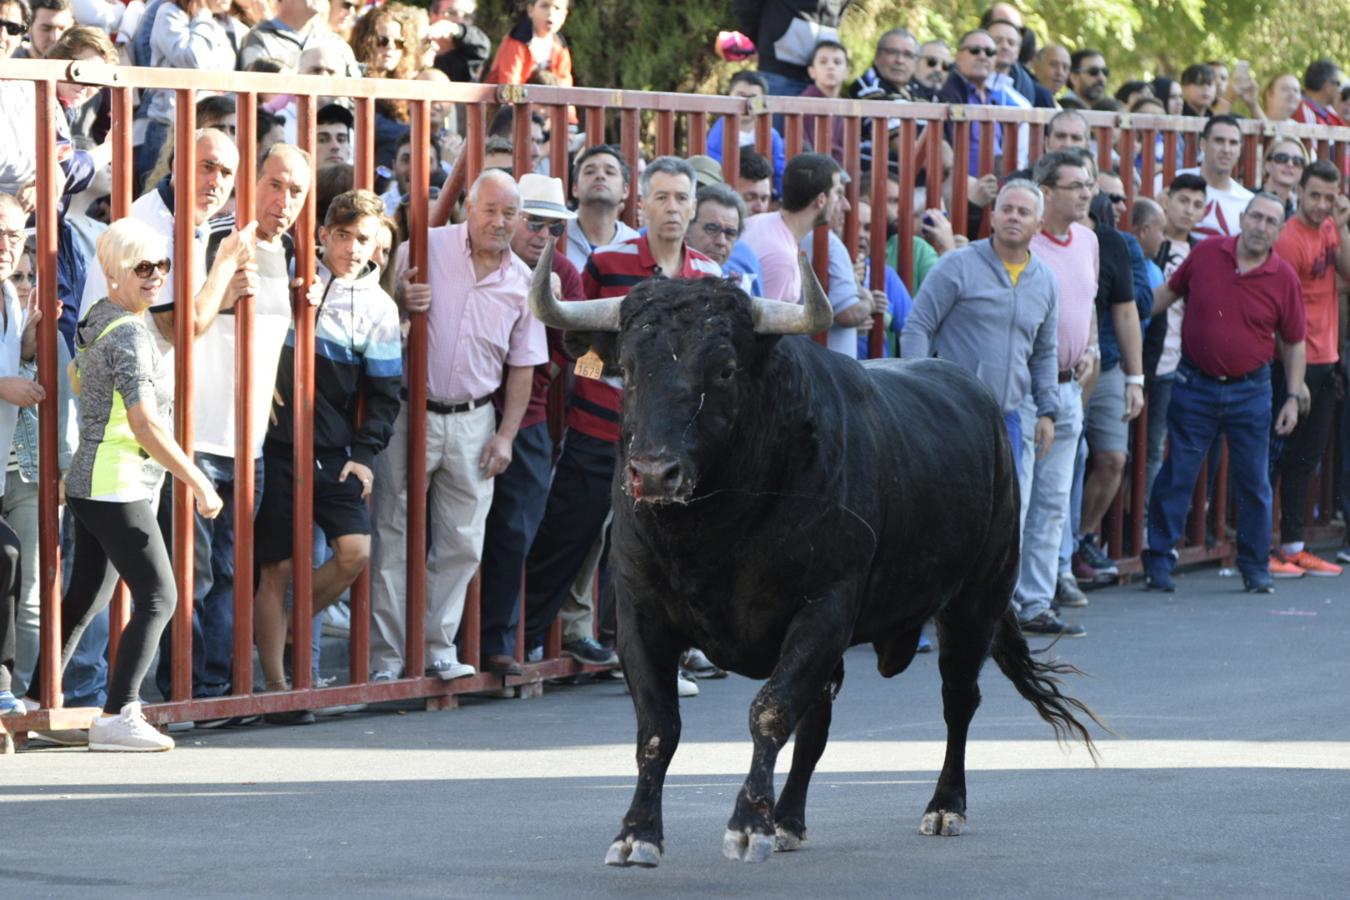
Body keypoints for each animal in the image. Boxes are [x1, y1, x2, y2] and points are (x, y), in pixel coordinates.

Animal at [526, 242, 1096, 868]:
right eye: (626, 371)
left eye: (724, 369)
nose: (654, 473)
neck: (712, 535)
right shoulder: (640, 612)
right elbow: (659, 725)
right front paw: (638, 834)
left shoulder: (823, 607)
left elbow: (770, 710)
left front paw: (747, 824)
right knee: (819, 721)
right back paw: (790, 819)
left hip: (975, 601)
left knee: (957, 699)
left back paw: (945, 806)